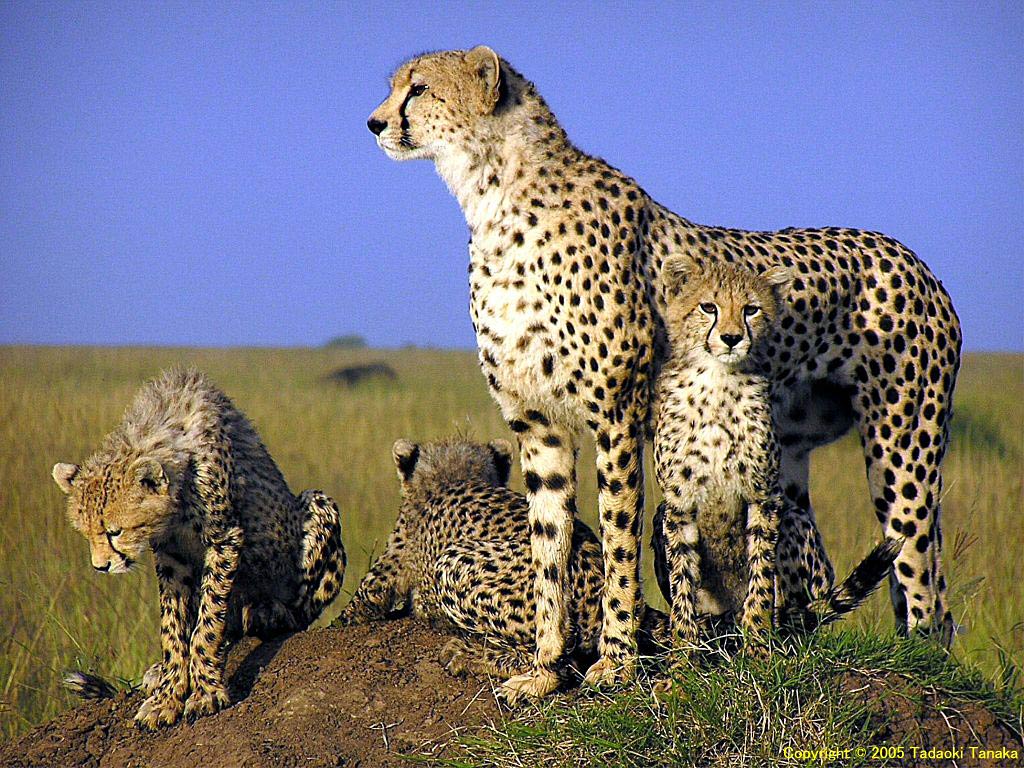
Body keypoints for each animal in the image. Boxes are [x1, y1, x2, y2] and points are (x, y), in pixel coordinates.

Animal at [52, 368, 346, 729]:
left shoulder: (225, 538)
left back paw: (271, 612)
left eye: (115, 532)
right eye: (87, 533)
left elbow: (207, 623)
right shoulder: (171, 554)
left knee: (296, 611)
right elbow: (173, 627)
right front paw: (167, 694)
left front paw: (205, 691)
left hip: (317, 503)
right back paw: (158, 670)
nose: (101, 566)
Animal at [650, 256, 903, 654]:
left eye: (751, 309)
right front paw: (684, 651)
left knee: (796, 610)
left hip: (794, 519)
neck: (717, 382)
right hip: (661, 515)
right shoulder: (679, 502)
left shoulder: (764, 495)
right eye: (709, 307)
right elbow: (683, 580)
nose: (732, 338)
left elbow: (761, 571)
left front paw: (756, 644)